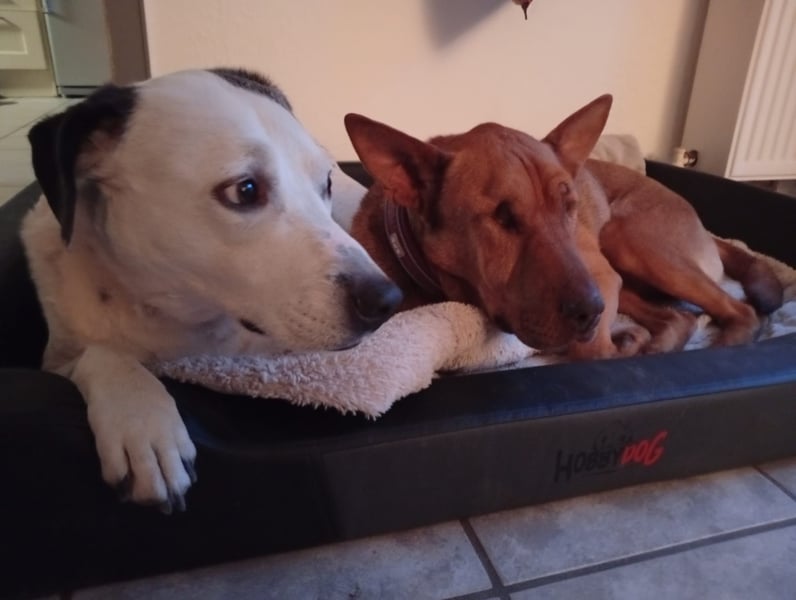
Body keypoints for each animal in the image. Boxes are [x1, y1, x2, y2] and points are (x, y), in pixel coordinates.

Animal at [22, 68, 402, 512]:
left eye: (323, 181)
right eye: (245, 190)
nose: (386, 301)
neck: (172, 318)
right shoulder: (57, 358)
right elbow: (103, 357)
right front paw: (142, 422)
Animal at [343, 94, 783, 360]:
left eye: (569, 206)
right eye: (503, 217)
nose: (589, 312)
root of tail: (706, 229)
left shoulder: (600, 280)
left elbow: (593, 352)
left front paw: (616, 345)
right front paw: (628, 341)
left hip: (626, 242)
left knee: (740, 311)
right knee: (682, 319)